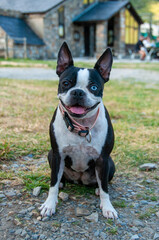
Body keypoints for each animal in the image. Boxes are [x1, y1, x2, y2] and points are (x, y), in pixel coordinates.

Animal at [39, 42, 117, 218]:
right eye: (66, 83)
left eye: (93, 87)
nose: (78, 92)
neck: (81, 125)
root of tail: (80, 179)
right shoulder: (57, 155)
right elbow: (53, 183)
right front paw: (49, 204)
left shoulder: (103, 159)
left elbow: (105, 188)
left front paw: (107, 207)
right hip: (50, 155)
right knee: (59, 178)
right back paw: (62, 183)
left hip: (110, 163)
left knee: (102, 183)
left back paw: (97, 189)